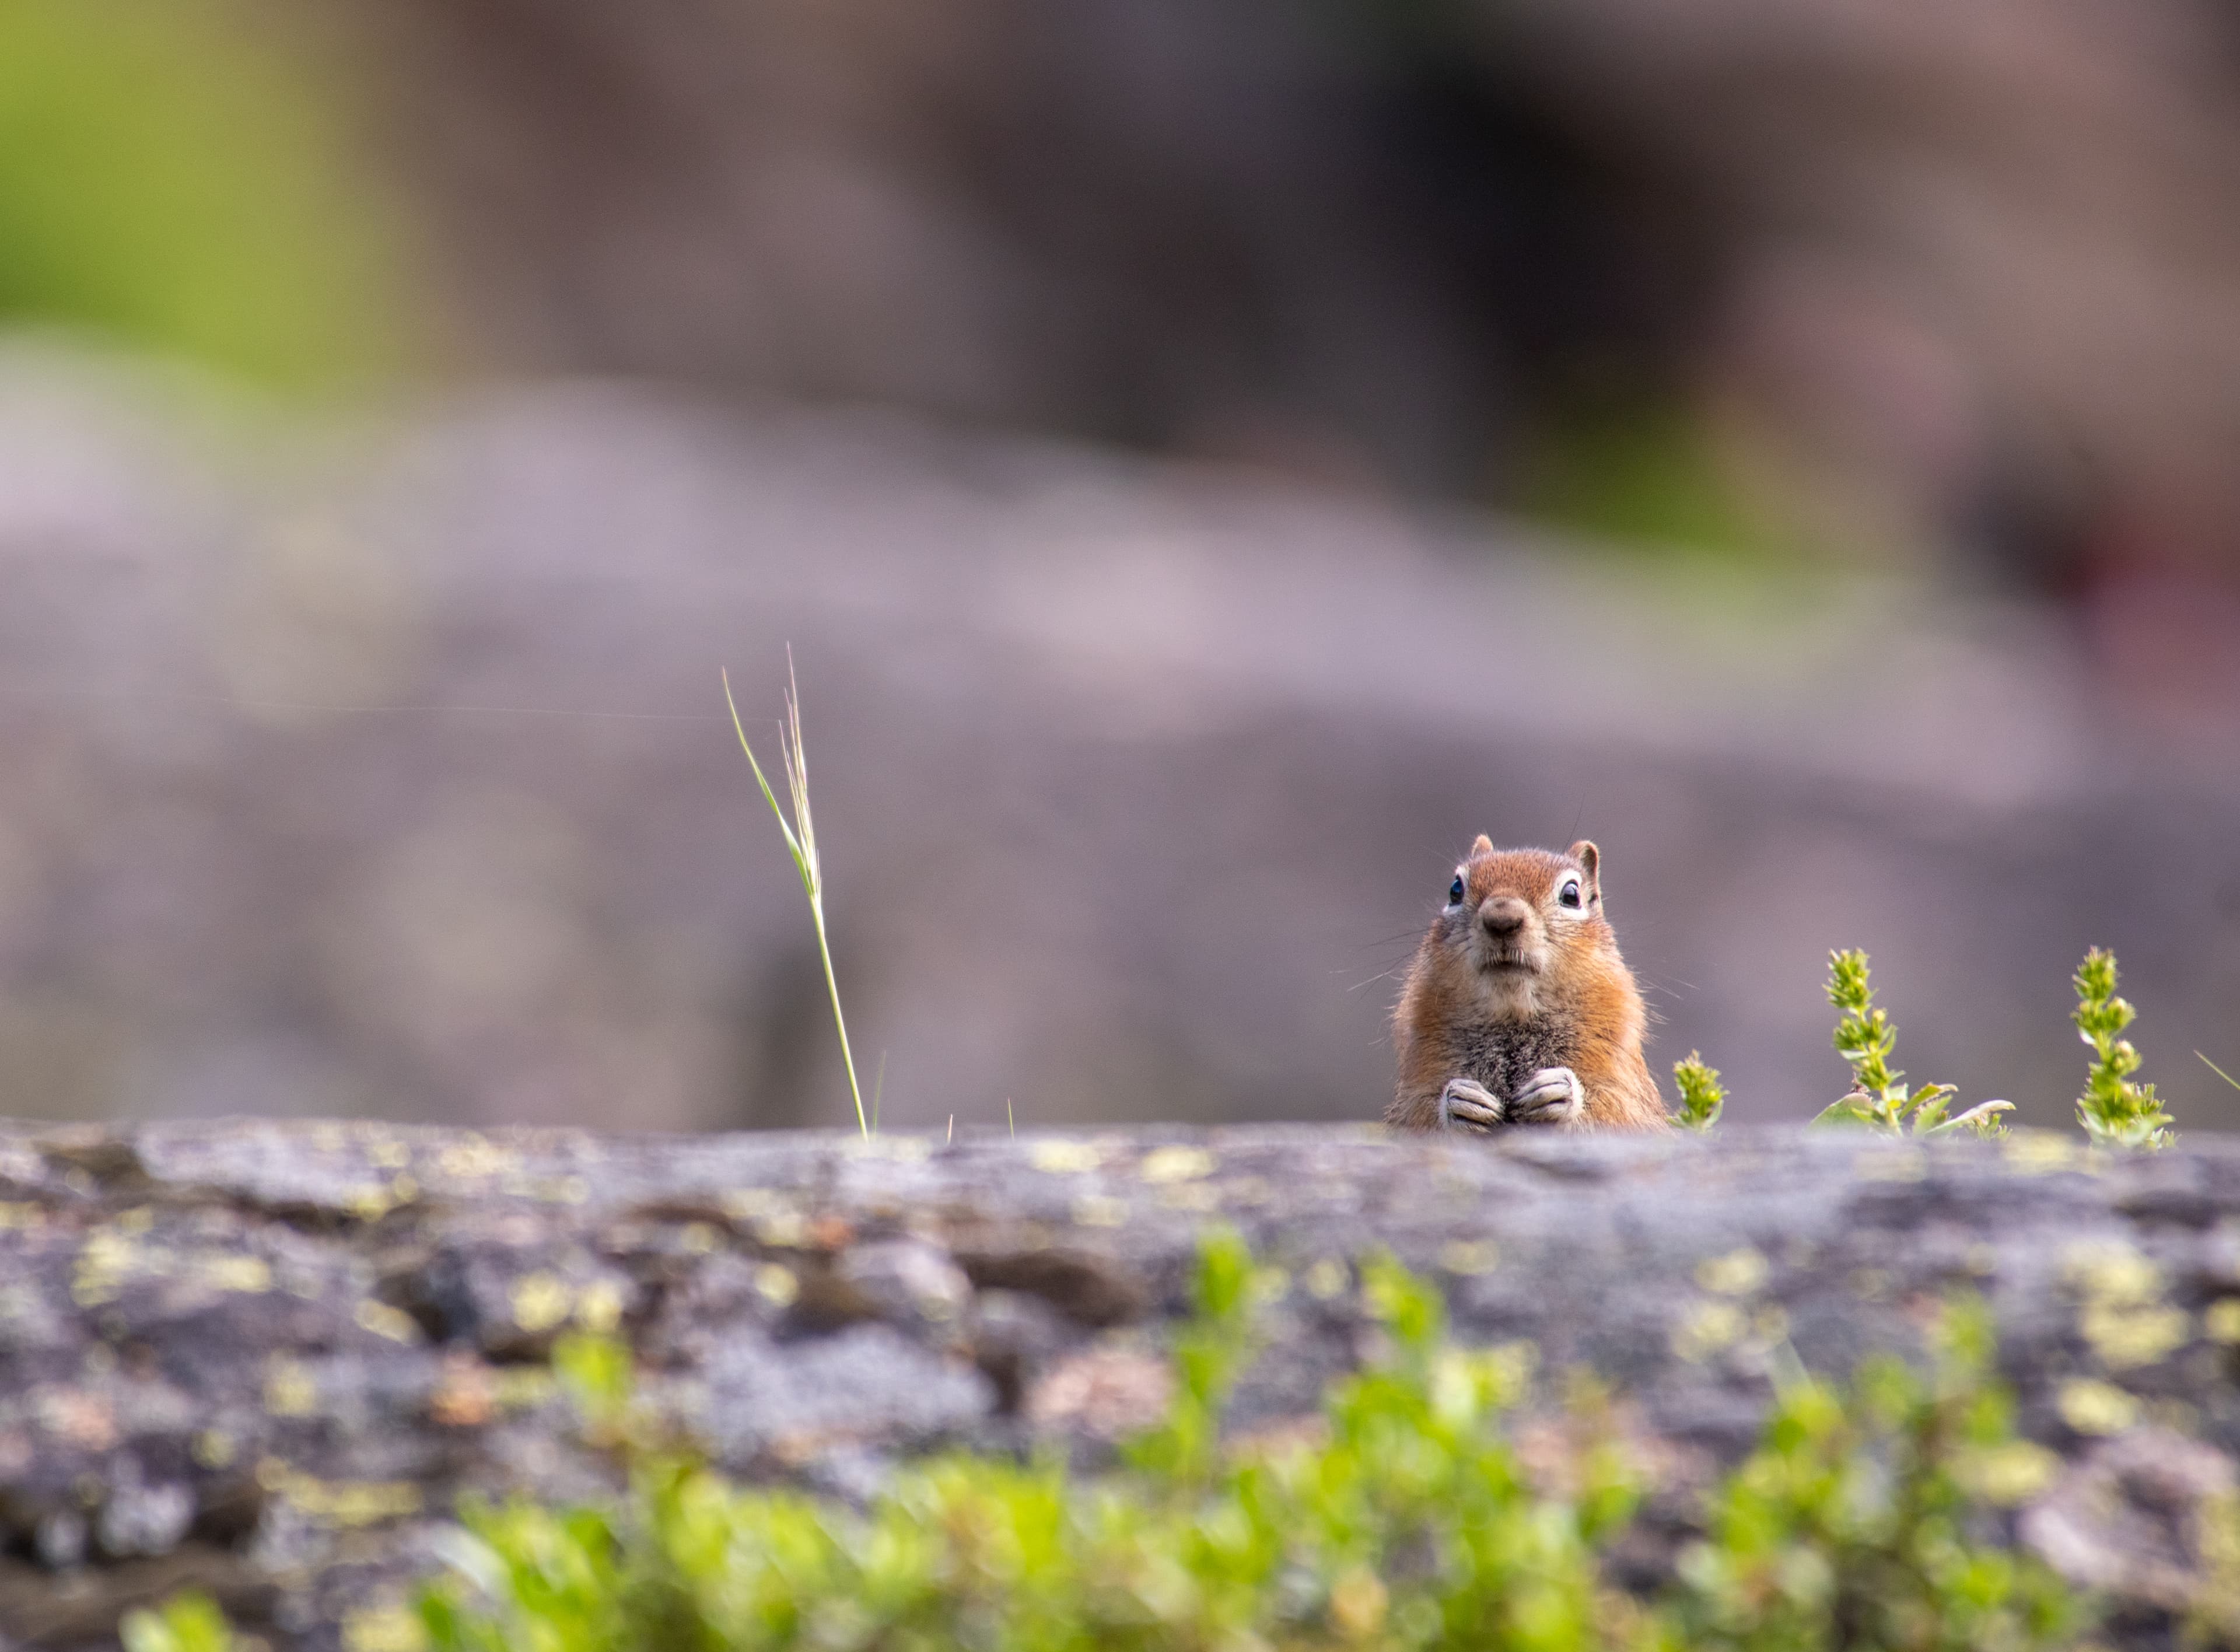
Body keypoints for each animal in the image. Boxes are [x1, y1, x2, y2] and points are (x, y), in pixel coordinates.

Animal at [1388, 837, 1668, 1134]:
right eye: (1455, 890)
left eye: (1572, 895)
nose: (1502, 918)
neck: (1514, 1018)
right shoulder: (1414, 1090)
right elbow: (1416, 1117)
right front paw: (1459, 1102)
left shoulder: (1625, 1084)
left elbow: (1617, 1113)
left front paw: (1562, 1092)